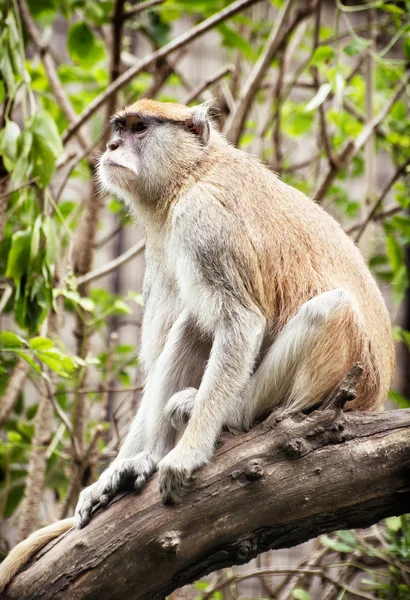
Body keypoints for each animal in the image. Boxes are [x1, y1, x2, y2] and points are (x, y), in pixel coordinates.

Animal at [0, 99, 394, 592]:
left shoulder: (204, 221)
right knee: (193, 323)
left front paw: (185, 456)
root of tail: (374, 397)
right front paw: (120, 472)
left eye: (139, 129)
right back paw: (143, 461)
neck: (194, 170)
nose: (112, 147)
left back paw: (226, 416)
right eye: (119, 129)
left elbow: (241, 321)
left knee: (330, 309)